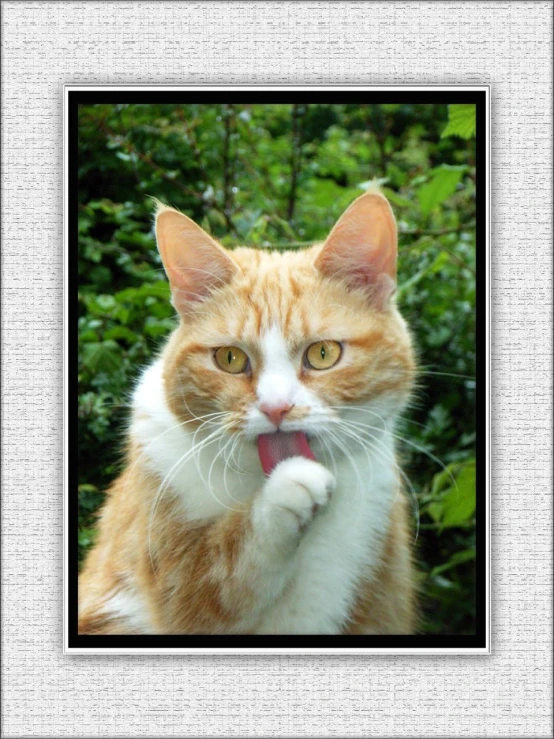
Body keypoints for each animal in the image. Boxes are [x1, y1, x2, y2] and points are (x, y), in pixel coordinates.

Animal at [76, 189, 414, 636]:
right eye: (231, 358)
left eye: (323, 354)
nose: (276, 407)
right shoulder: (177, 587)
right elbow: (227, 571)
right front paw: (284, 492)